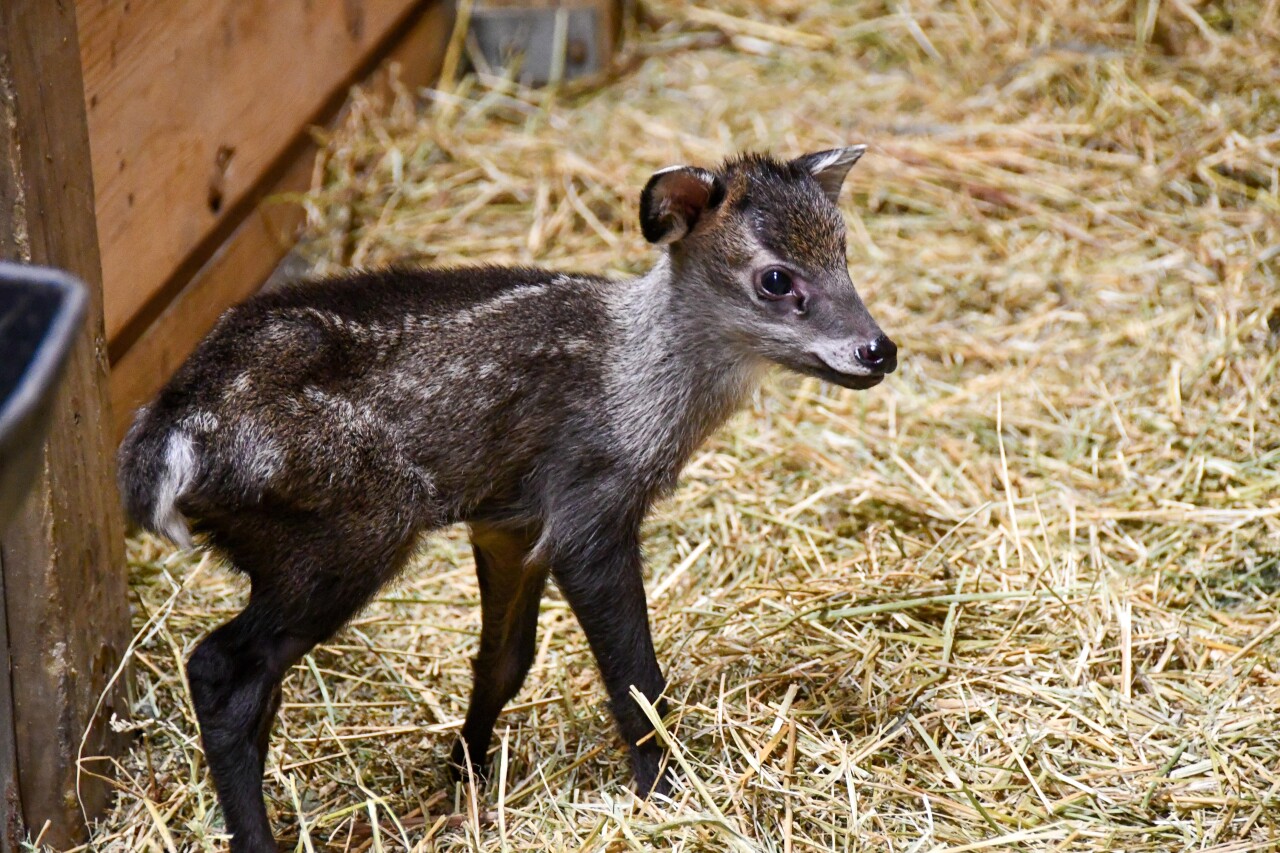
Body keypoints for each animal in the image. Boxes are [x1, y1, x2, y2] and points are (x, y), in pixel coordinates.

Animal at [117, 147, 897, 851]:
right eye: (776, 278)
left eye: (845, 252)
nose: (879, 350)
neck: (635, 382)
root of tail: (168, 441)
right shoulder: (589, 503)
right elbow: (634, 675)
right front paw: (664, 791)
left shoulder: (509, 521)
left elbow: (504, 659)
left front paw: (465, 769)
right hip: (349, 528)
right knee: (220, 669)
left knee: (258, 683)